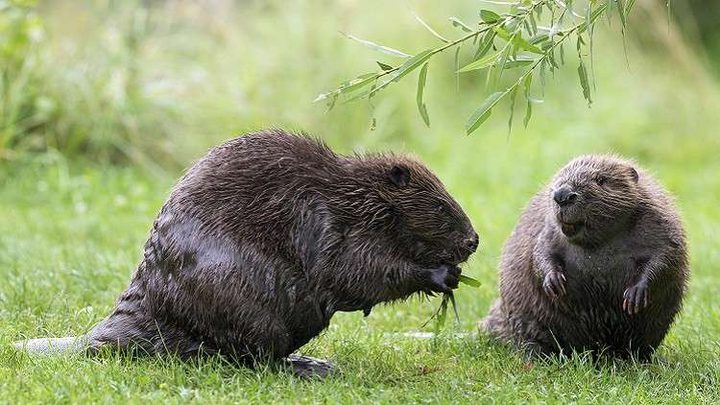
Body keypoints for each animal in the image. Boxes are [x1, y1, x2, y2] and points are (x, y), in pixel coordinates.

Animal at [15, 129, 478, 376]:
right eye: (440, 206)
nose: (473, 241)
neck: (357, 196)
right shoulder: (331, 221)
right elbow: (353, 271)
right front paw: (441, 275)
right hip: (242, 299)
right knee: (246, 358)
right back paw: (312, 367)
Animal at [480, 155, 688, 360]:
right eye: (559, 177)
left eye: (601, 180)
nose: (562, 196)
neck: (597, 240)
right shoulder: (548, 226)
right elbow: (541, 251)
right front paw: (554, 282)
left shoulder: (657, 219)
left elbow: (665, 255)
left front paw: (634, 296)